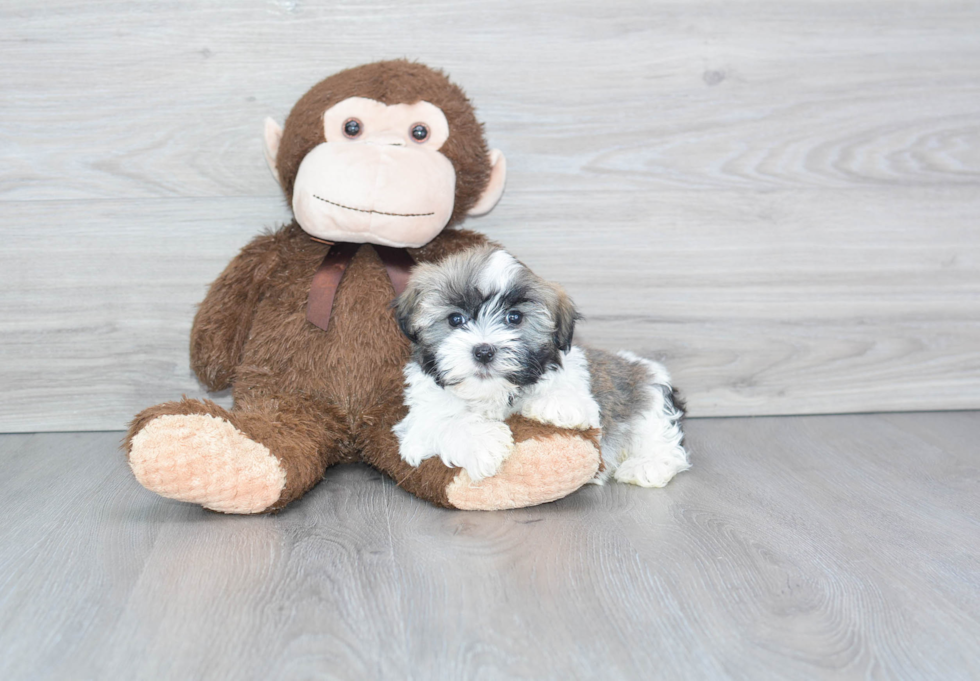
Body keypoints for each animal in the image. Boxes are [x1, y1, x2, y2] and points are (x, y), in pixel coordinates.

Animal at [390, 247, 688, 486]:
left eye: (514, 318)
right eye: (455, 319)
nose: (484, 351)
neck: (493, 394)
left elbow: (570, 390)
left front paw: (556, 403)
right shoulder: (417, 425)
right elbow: (444, 422)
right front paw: (483, 443)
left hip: (648, 398)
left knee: (660, 438)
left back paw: (646, 466)